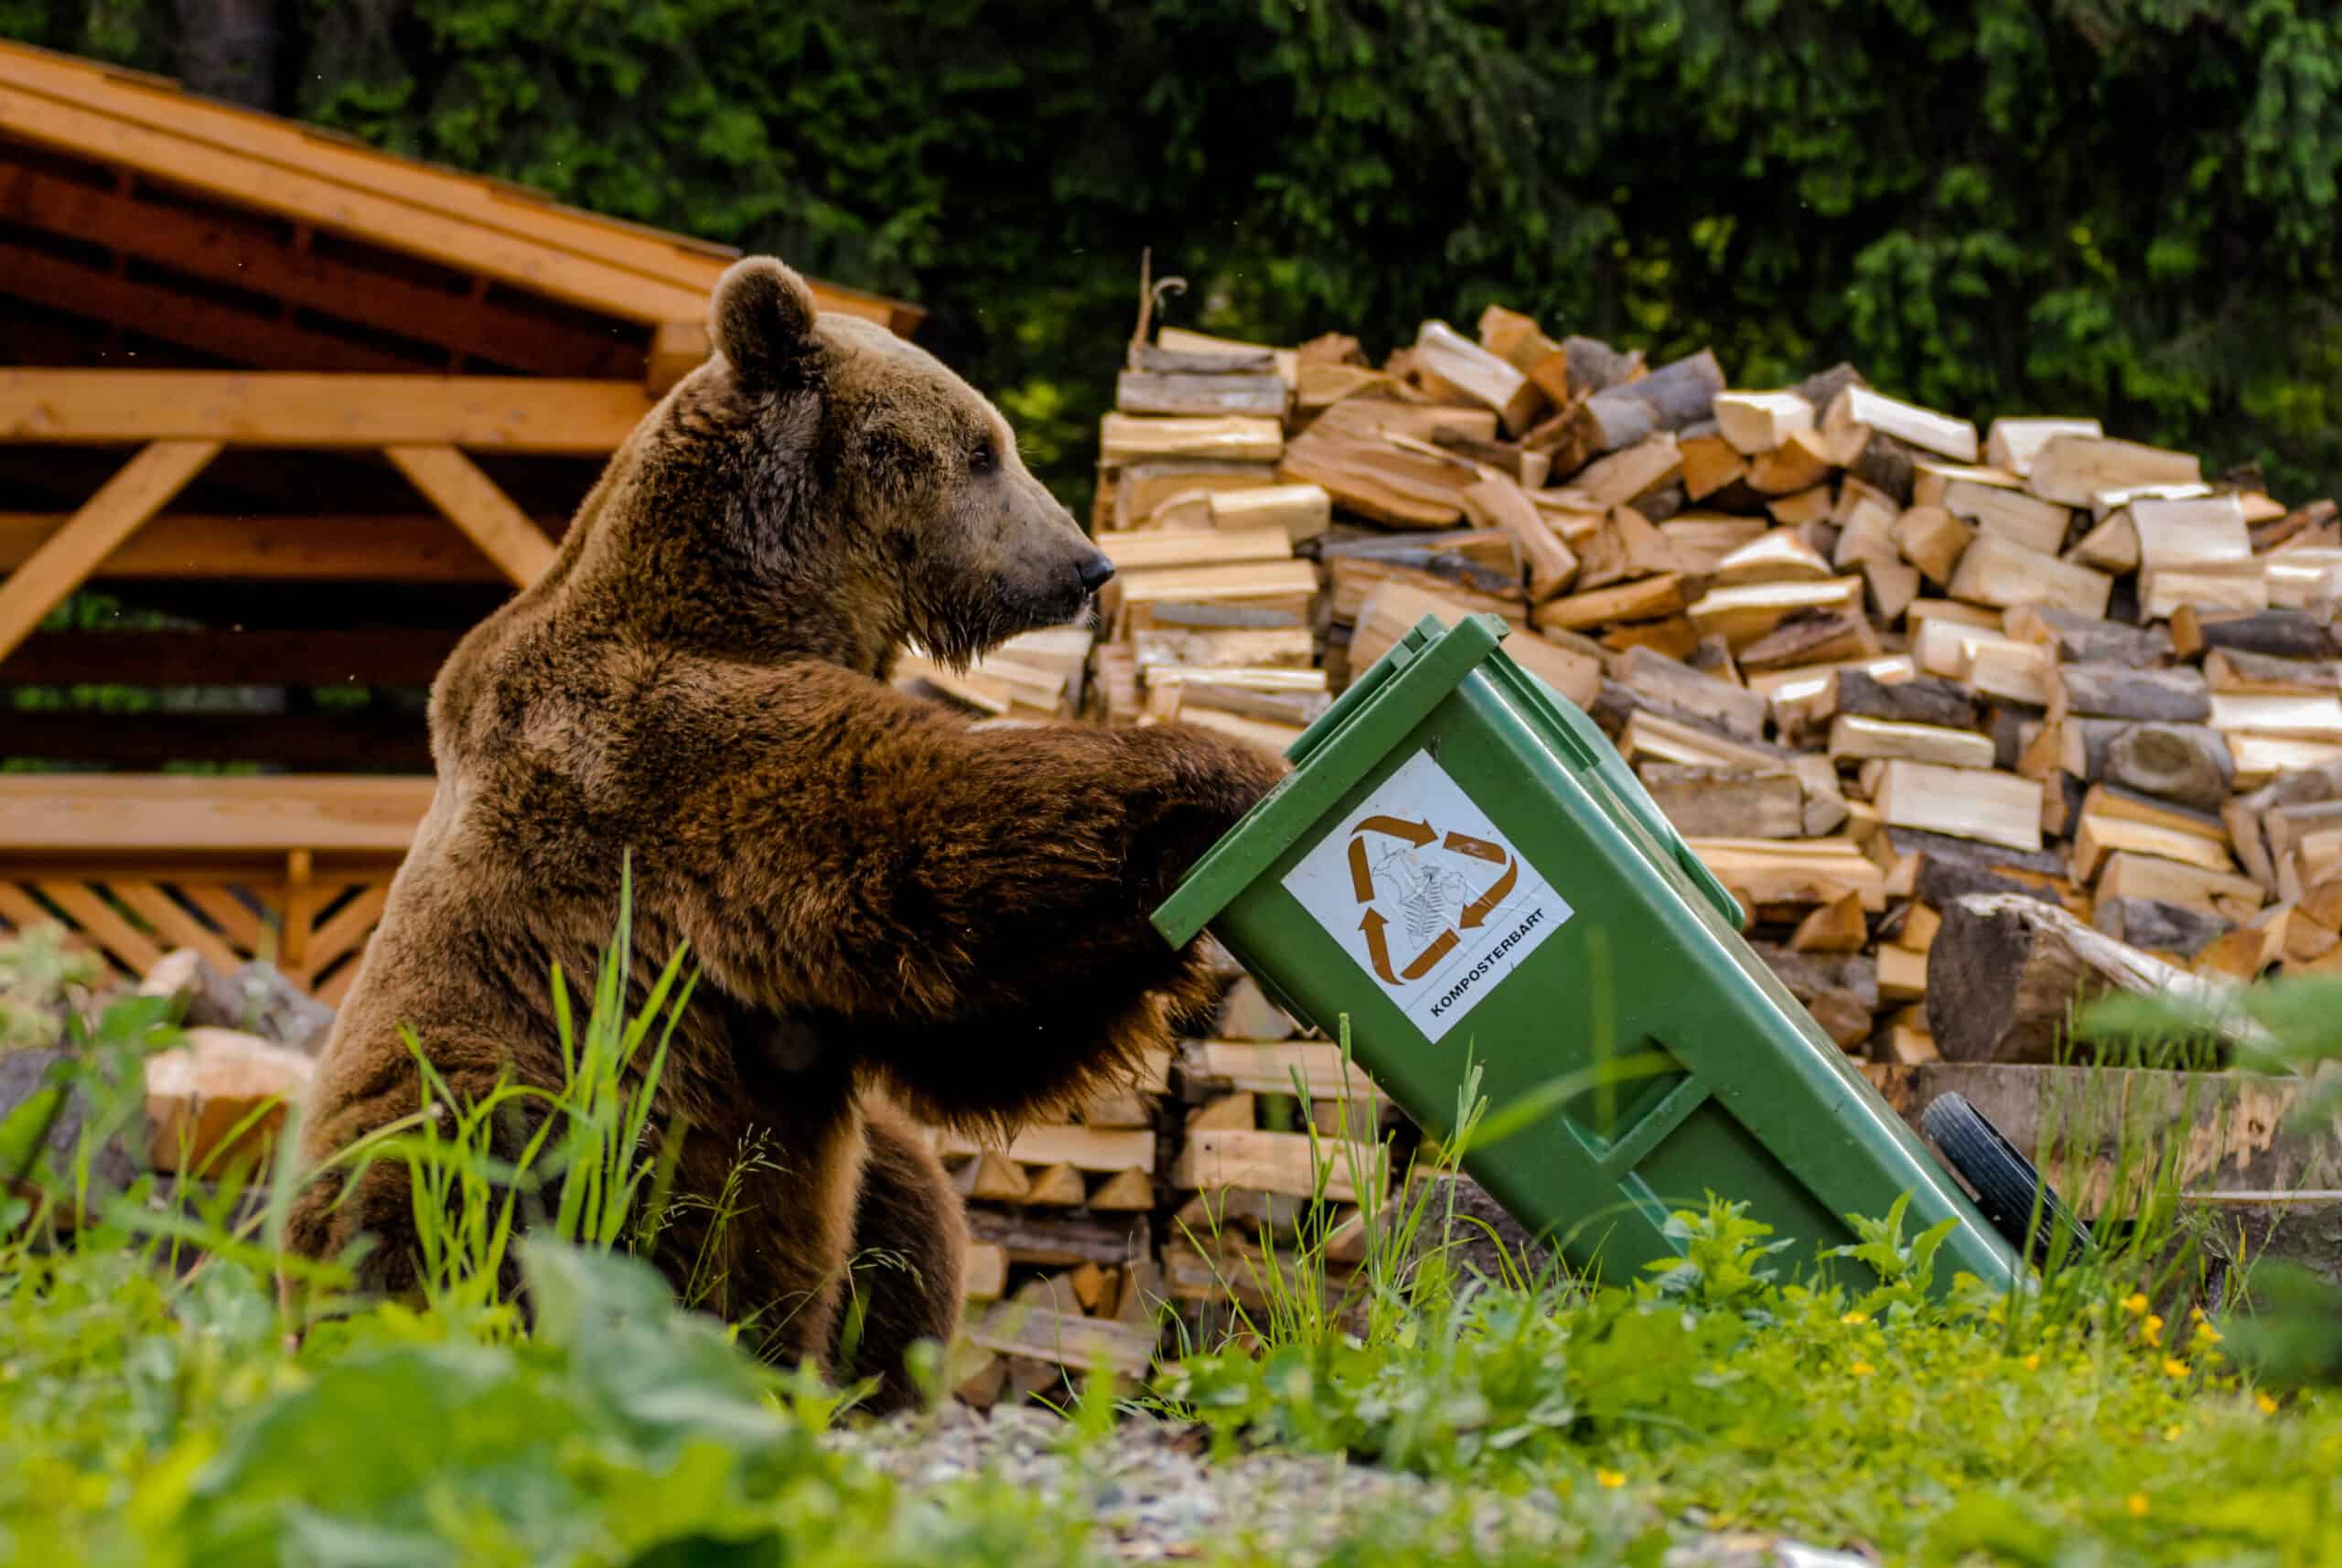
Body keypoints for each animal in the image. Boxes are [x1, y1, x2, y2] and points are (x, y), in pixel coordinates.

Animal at [293, 257, 1293, 1413]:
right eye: (982, 447)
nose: (1086, 565)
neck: (763, 594)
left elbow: (977, 1027)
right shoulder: (674, 760)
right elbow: (927, 850)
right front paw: (1227, 771)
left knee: (904, 1203)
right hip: (509, 1110)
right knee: (445, 1196)